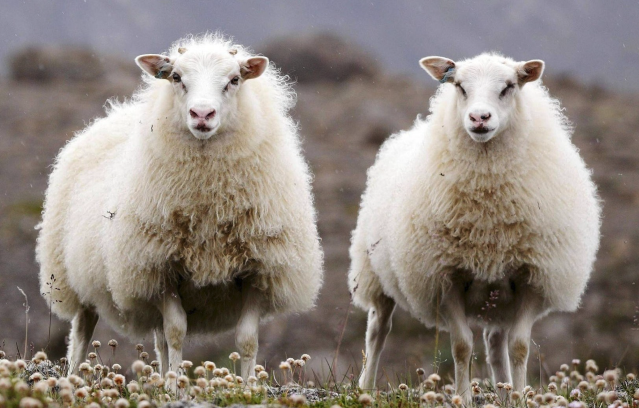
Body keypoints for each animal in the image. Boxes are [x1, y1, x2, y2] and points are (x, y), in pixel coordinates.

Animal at [36, 33, 324, 380]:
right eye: (176, 77)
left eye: (234, 80)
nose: (202, 114)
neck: (209, 201)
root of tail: (114, 114)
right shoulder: (158, 267)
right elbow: (176, 332)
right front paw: (174, 385)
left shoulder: (259, 269)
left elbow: (246, 339)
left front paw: (245, 385)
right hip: (74, 280)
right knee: (82, 332)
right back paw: (75, 377)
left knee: (157, 341)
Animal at [348, 51, 604, 396]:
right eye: (459, 86)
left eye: (508, 86)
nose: (479, 118)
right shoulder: (446, 277)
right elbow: (461, 346)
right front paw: (463, 396)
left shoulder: (531, 277)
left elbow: (519, 347)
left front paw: (519, 398)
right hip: (374, 273)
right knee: (378, 329)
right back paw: (365, 386)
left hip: (500, 296)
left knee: (495, 345)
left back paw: (505, 391)